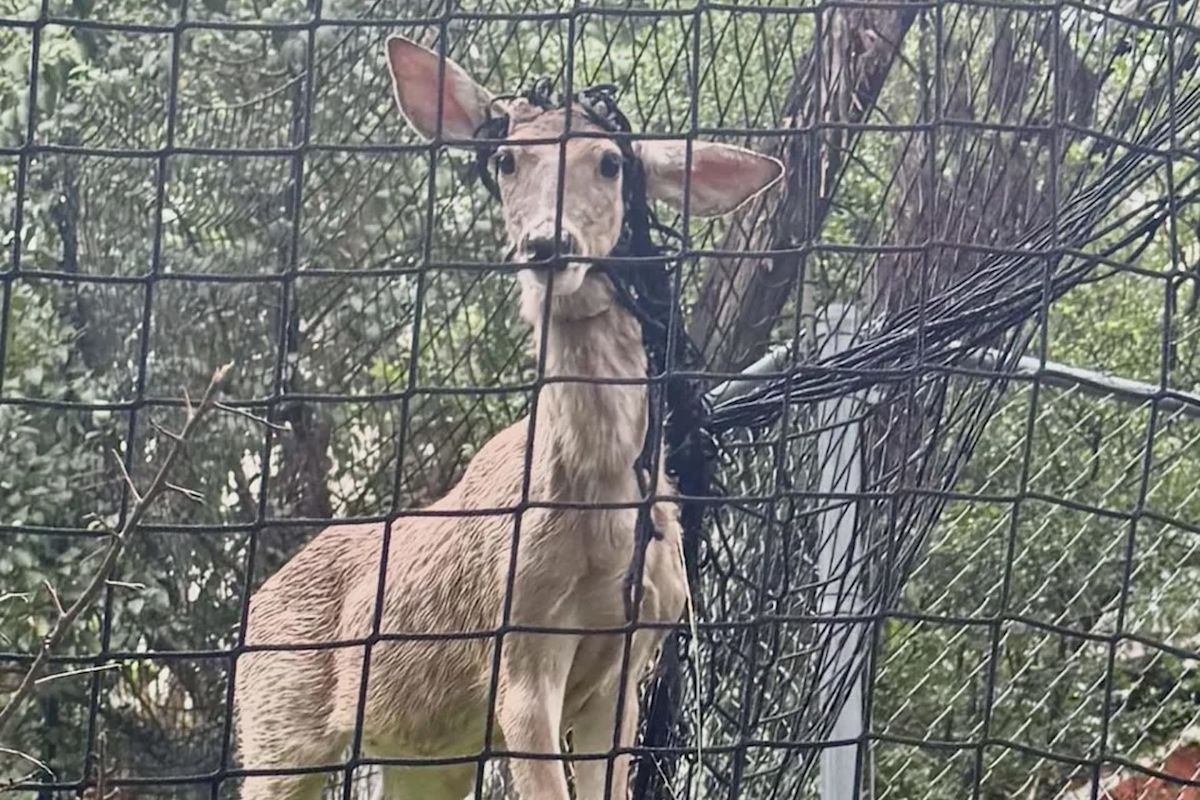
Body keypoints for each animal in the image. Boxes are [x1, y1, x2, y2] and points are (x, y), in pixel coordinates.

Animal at [233, 34, 782, 800]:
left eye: (610, 163)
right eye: (506, 159)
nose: (547, 245)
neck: (600, 519)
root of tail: (254, 610)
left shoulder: (629, 662)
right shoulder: (519, 652)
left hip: (428, 757)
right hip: (277, 725)